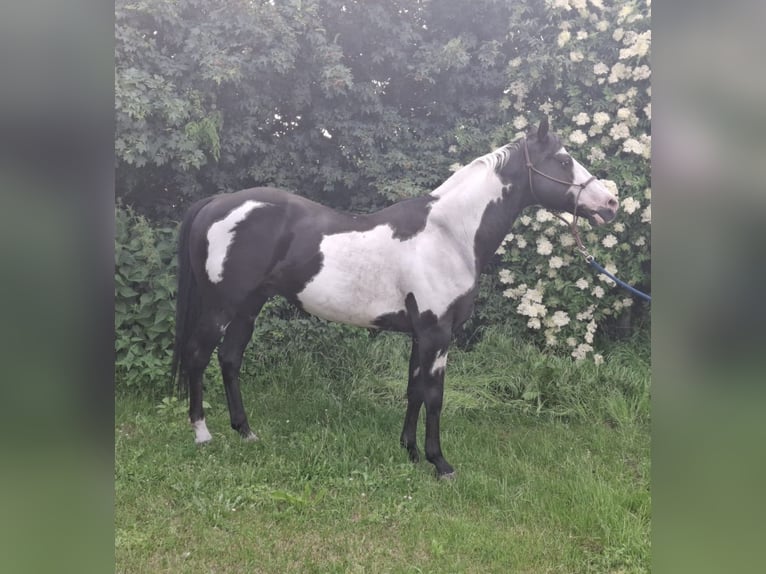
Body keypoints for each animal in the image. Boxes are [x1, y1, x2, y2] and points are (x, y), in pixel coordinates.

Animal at [171, 118, 618, 478]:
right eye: (563, 161)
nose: (611, 203)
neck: (447, 235)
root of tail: (216, 203)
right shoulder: (437, 333)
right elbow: (435, 396)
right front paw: (440, 463)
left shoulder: (421, 334)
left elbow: (414, 389)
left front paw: (410, 451)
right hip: (221, 306)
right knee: (197, 356)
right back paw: (202, 433)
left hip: (249, 307)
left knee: (230, 359)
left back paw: (246, 432)